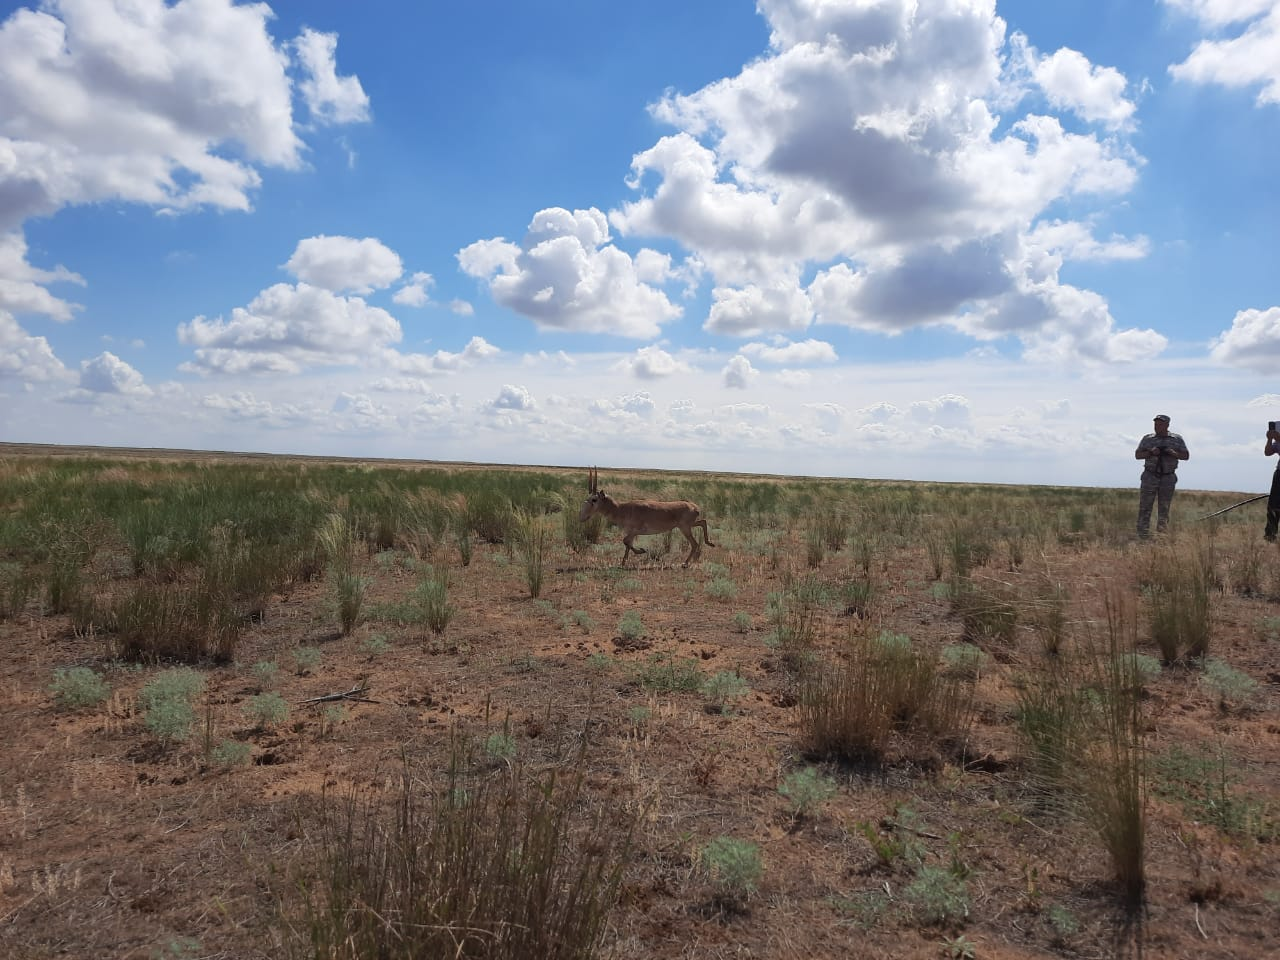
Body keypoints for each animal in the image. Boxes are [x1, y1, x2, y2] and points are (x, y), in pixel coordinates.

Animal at [578, 468, 716, 568]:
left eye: (594, 499)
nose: (581, 517)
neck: (622, 508)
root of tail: (695, 507)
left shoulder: (635, 531)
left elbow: (625, 541)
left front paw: (642, 551)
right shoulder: (631, 532)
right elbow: (627, 544)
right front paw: (623, 563)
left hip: (685, 528)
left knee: (695, 543)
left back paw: (685, 563)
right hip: (687, 525)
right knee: (703, 522)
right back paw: (710, 543)